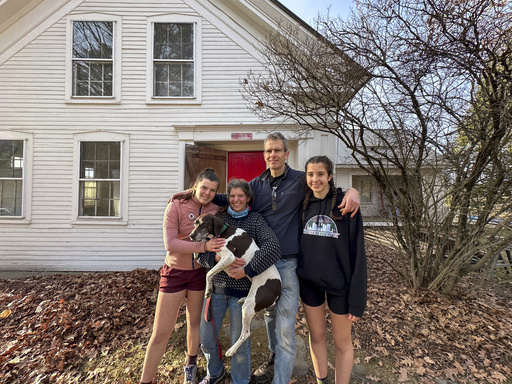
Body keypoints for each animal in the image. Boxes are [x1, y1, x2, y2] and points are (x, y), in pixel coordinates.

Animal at [190, 213, 282, 356]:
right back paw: (243, 298)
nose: (191, 236)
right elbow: (204, 251)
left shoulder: (229, 257)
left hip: (249, 307)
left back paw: (232, 350)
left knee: (246, 333)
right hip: (252, 296)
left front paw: (208, 290)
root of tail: (279, 289)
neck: (223, 232)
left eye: (204, 224)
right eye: (195, 223)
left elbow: (209, 273)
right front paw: (198, 249)